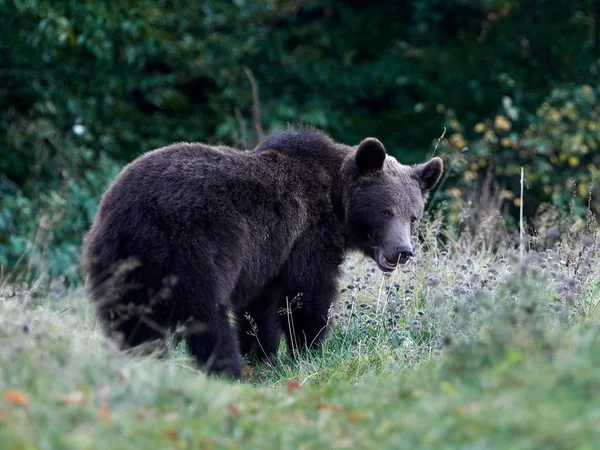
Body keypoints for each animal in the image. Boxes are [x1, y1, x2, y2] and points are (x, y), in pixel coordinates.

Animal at [82, 127, 442, 380]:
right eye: (386, 211)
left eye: (413, 215)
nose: (403, 251)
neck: (336, 200)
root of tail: (134, 212)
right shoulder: (306, 238)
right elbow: (307, 296)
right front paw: (310, 349)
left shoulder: (269, 256)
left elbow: (260, 308)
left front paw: (264, 354)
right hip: (191, 246)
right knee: (206, 314)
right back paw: (227, 371)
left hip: (117, 261)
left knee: (129, 322)